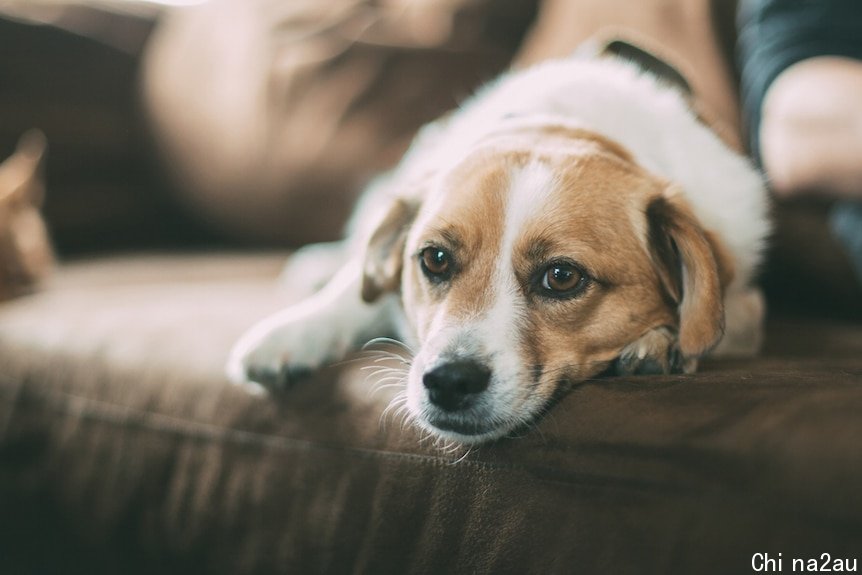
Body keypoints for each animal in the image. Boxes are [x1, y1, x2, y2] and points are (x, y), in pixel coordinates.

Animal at [226, 49, 772, 446]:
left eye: (562, 276)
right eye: (435, 259)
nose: (449, 381)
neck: (564, 125)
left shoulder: (745, 300)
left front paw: (662, 341)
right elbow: (353, 291)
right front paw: (293, 332)